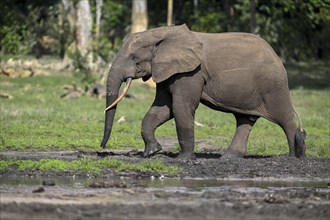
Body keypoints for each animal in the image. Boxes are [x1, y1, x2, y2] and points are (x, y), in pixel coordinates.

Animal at [100, 24, 306, 160]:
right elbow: (163, 109)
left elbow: (181, 107)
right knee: (244, 120)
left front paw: (183, 161)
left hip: (274, 85)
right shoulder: (167, 71)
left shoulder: (192, 72)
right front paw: (152, 152)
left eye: (133, 57)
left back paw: (294, 157)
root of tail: (276, 55)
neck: (161, 33)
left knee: (285, 117)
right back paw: (228, 158)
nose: (102, 148)